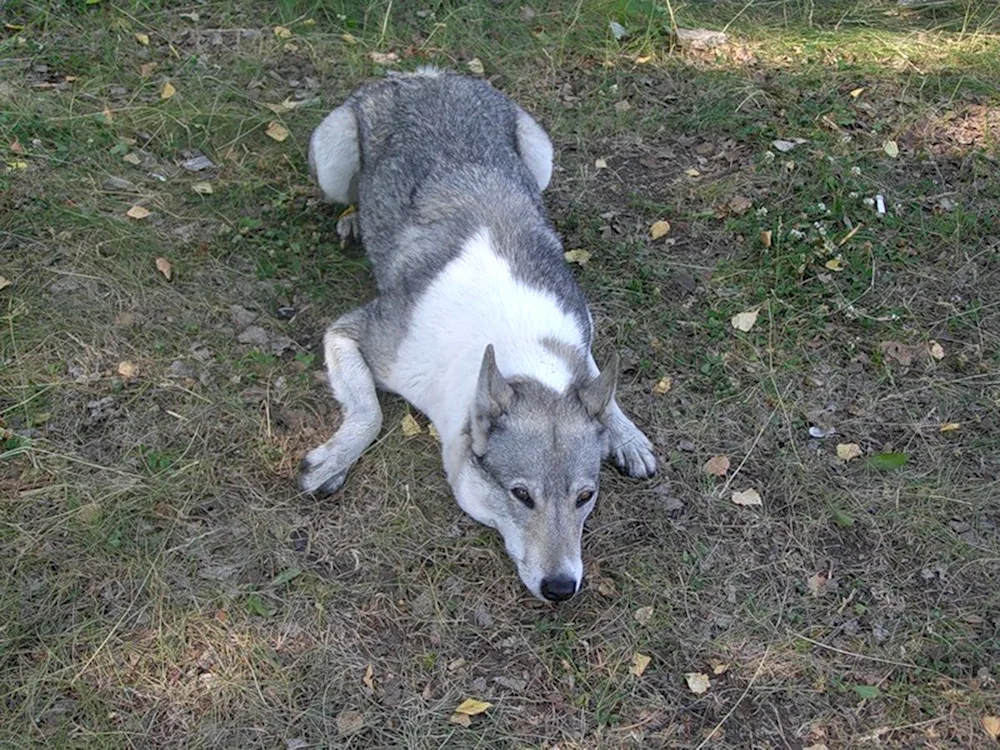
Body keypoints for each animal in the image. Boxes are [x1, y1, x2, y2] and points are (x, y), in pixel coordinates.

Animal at [298, 67, 656, 604]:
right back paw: (355, 219)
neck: (516, 344)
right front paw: (334, 460)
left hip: (541, 154)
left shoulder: (583, 332)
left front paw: (626, 435)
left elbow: (600, 384)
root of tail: (426, 72)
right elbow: (369, 413)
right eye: (521, 495)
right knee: (349, 194)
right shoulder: (353, 330)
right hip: (332, 154)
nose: (561, 588)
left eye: (585, 497)